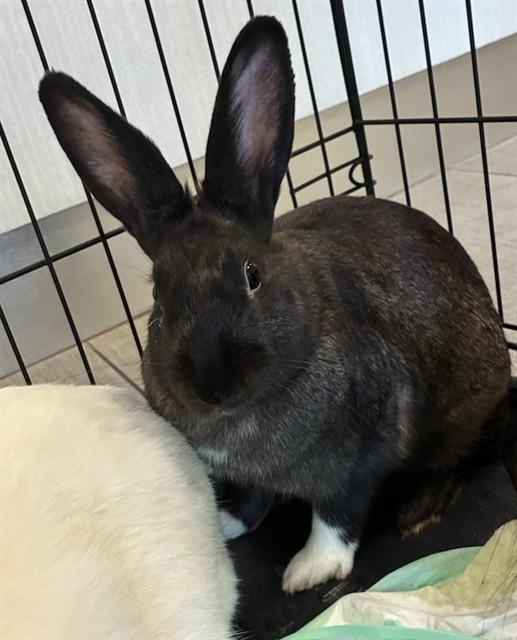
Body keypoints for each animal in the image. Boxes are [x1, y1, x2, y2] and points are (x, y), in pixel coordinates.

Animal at [38, 15, 512, 594]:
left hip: (464, 410)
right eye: (157, 295)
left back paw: (420, 507)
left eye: (252, 275)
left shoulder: (363, 453)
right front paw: (227, 523)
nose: (214, 383)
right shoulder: (248, 474)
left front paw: (309, 570)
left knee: (473, 448)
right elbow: (253, 495)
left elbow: (337, 513)